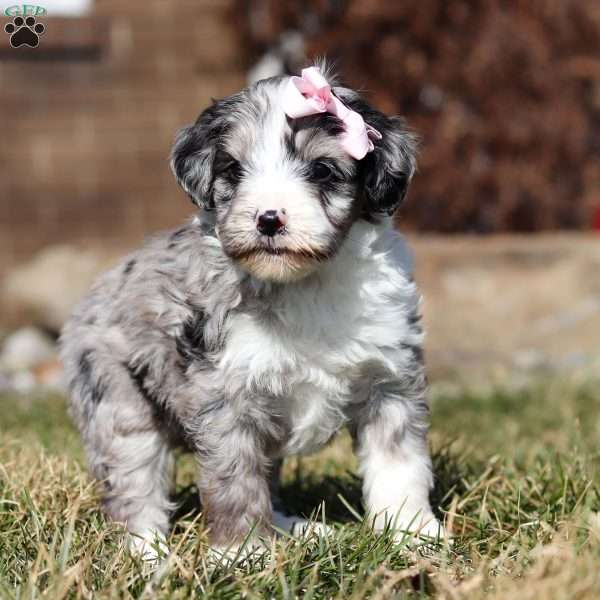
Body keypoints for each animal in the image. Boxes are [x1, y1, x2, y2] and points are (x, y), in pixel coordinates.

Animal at [61, 64, 442, 556]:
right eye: (234, 169)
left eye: (322, 170)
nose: (268, 219)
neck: (305, 283)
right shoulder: (226, 392)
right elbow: (235, 478)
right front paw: (243, 554)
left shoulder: (390, 379)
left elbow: (400, 463)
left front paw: (412, 533)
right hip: (117, 400)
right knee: (133, 478)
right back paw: (147, 551)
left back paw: (294, 529)